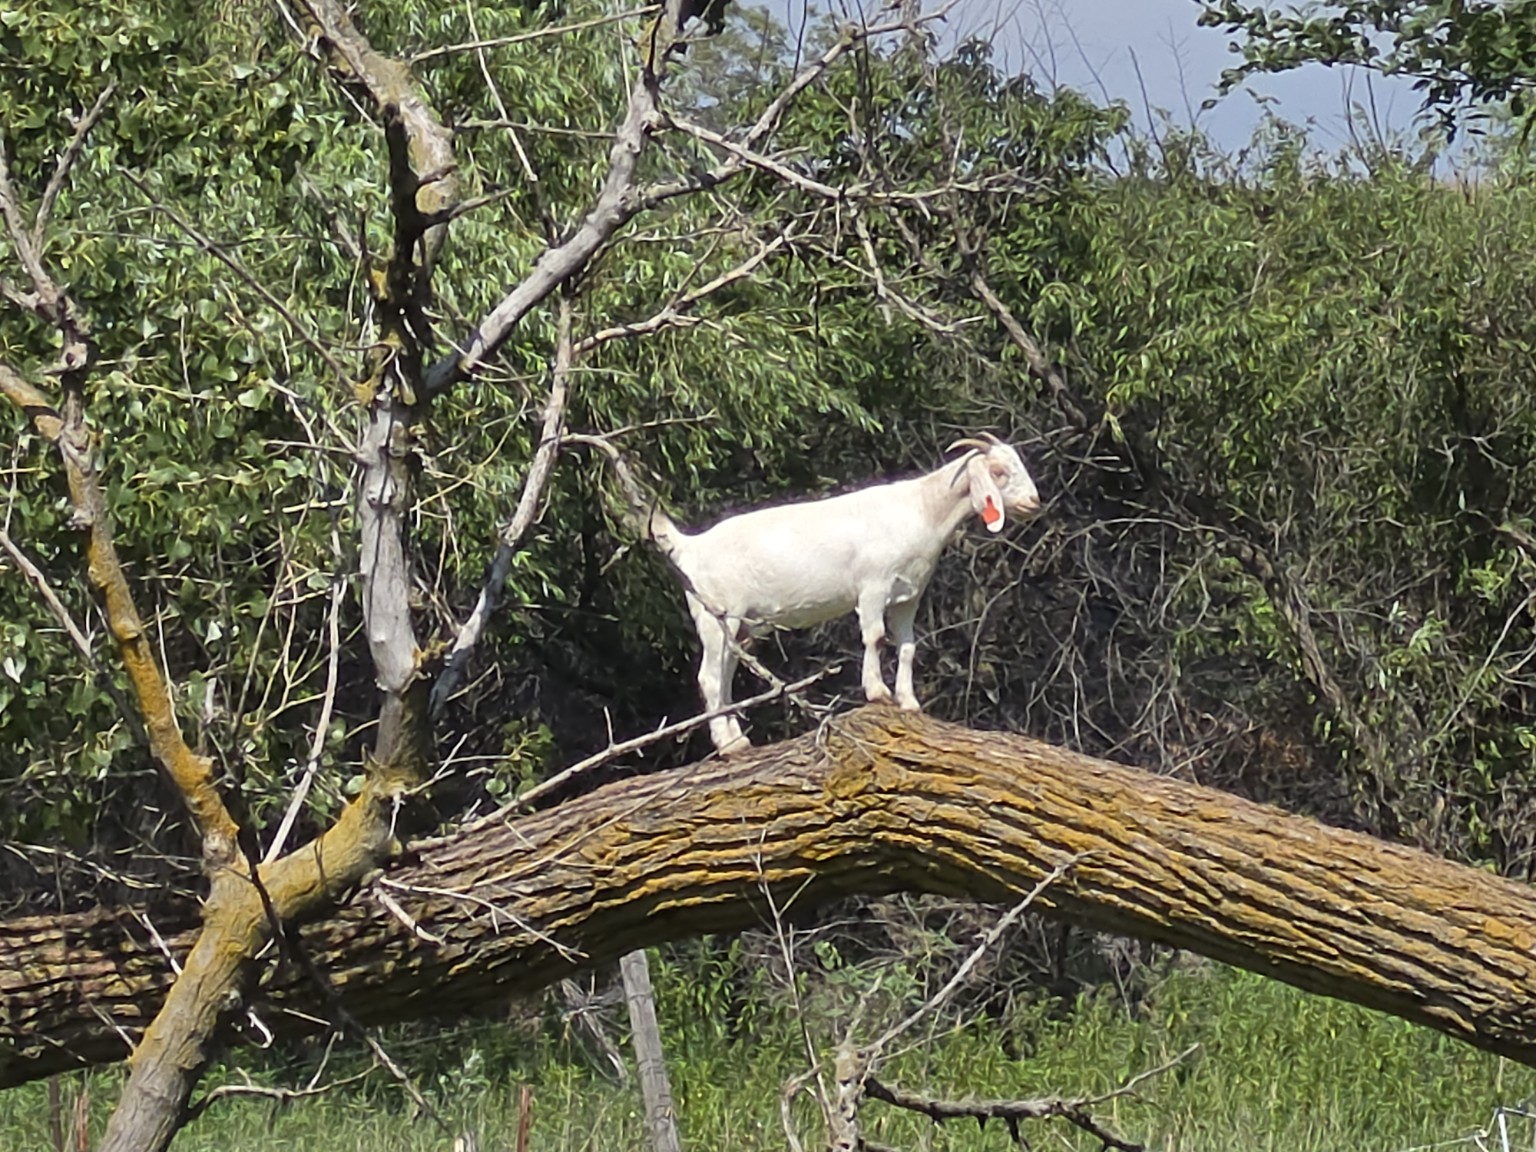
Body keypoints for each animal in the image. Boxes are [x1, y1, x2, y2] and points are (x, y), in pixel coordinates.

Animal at [570, 434, 1042, 754]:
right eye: (999, 472)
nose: (1033, 503)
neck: (921, 510)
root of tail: (690, 546)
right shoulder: (872, 586)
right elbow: (874, 638)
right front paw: (877, 693)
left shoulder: (909, 595)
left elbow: (908, 646)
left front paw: (909, 702)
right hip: (716, 613)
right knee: (709, 676)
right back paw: (730, 745)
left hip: (738, 625)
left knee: (724, 674)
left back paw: (736, 740)